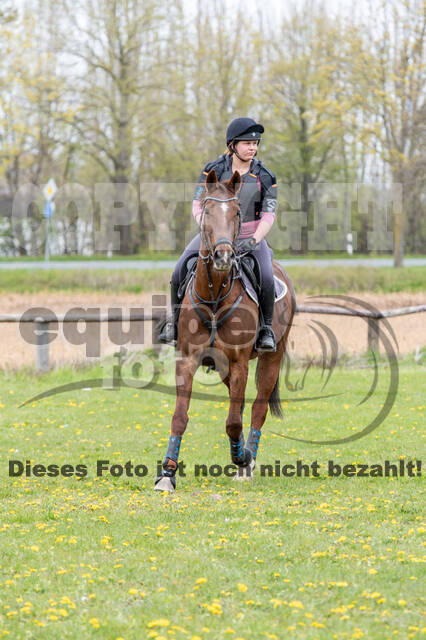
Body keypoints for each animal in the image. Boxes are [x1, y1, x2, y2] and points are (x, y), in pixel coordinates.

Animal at [155, 169, 294, 490]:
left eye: (236, 212)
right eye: (207, 210)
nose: (223, 257)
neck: (216, 295)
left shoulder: (239, 362)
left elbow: (233, 421)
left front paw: (242, 459)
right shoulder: (188, 360)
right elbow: (180, 417)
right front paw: (167, 474)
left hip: (271, 357)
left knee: (256, 409)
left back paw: (247, 460)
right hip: (222, 368)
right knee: (239, 406)